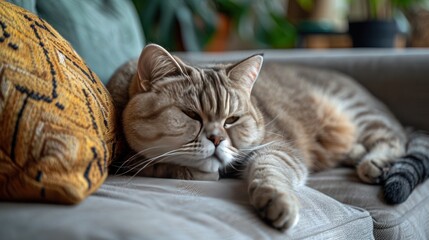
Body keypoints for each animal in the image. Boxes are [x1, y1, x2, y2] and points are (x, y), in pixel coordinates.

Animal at [106, 44, 428, 232]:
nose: (217, 139)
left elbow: (268, 168)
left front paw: (275, 199)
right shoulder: (126, 159)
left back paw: (374, 162)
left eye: (232, 119)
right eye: (191, 115)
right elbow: (153, 163)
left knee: (393, 139)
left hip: (361, 113)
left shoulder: (279, 147)